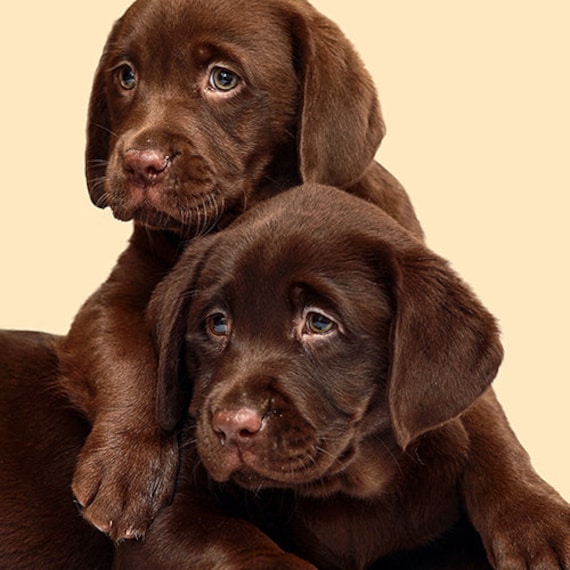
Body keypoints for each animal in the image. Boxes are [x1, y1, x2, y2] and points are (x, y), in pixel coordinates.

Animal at [60, 0, 420, 536]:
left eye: (222, 78)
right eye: (125, 76)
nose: (140, 162)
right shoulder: (110, 300)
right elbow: (129, 359)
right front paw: (127, 466)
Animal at [115, 184, 568, 564]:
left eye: (319, 323)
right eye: (217, 324)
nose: (232, 426)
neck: (350, 493)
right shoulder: (169, 522)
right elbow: (247, 551)